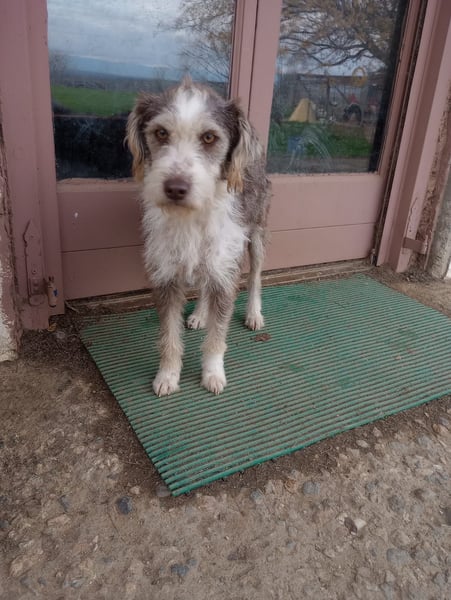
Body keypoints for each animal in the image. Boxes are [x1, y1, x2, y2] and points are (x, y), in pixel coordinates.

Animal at [126, 78, 271, 396]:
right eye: (161, 133)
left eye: (208, 137)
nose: (175, 188)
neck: (191, 216)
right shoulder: (166, 278)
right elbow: (169, 337)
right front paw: (167, 375)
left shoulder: (225, 273)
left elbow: (217, 338)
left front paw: (213, 374)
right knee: (205, 283)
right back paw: (201, 314)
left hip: (256, 235)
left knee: (255, 276)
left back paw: (254, 313)